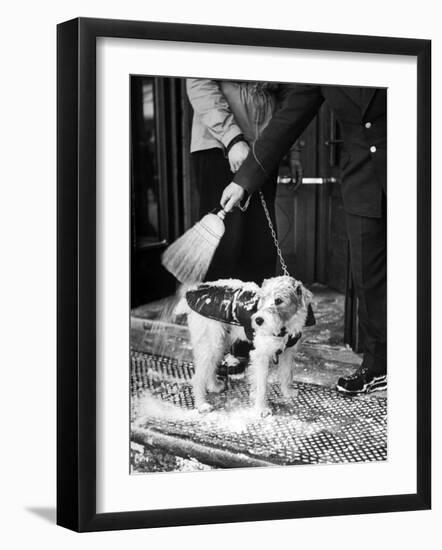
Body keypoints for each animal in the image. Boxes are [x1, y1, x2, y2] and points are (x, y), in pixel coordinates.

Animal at [179, 278, 314, 416]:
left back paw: (214, 386)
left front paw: (287, 392)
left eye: (278, 301)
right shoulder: (261, 355)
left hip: (220, 343)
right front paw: (261, 409)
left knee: (211, 366)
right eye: (263, 298)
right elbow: (262, 385)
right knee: (197, 377)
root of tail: (193, 291)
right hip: (211, 344)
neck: (285, 326)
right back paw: (201, 405)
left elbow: (286, 374)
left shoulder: (288, 352)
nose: (258, 320)